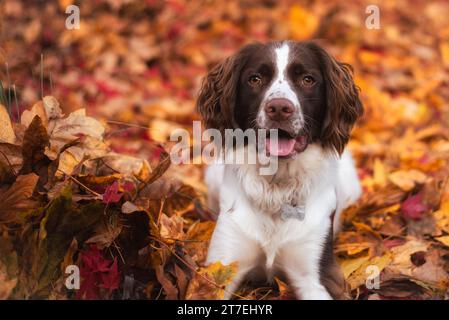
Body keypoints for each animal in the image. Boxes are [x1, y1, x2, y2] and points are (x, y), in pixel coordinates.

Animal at [195, 40, 360, 300]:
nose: (280, 108)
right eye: (254, 79)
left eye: (307, 79)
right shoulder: (219, 267)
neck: (277, 184)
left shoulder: (319, 276)